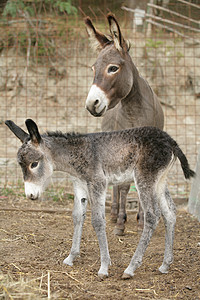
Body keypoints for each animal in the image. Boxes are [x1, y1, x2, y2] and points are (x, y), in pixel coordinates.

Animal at [5, 118, 194, 278]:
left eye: (34, 164)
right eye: (21, 166)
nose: (30, 195)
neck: (73, 155)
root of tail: (171, 141)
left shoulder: (98, 183)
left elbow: (97, 221)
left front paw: (104, 267)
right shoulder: (79, 185)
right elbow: (77, 217)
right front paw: (71, 257)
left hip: (145, 179)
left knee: (153, 216)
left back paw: (131, 268)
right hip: (160, 181)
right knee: (170, 213)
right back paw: (165, 265)